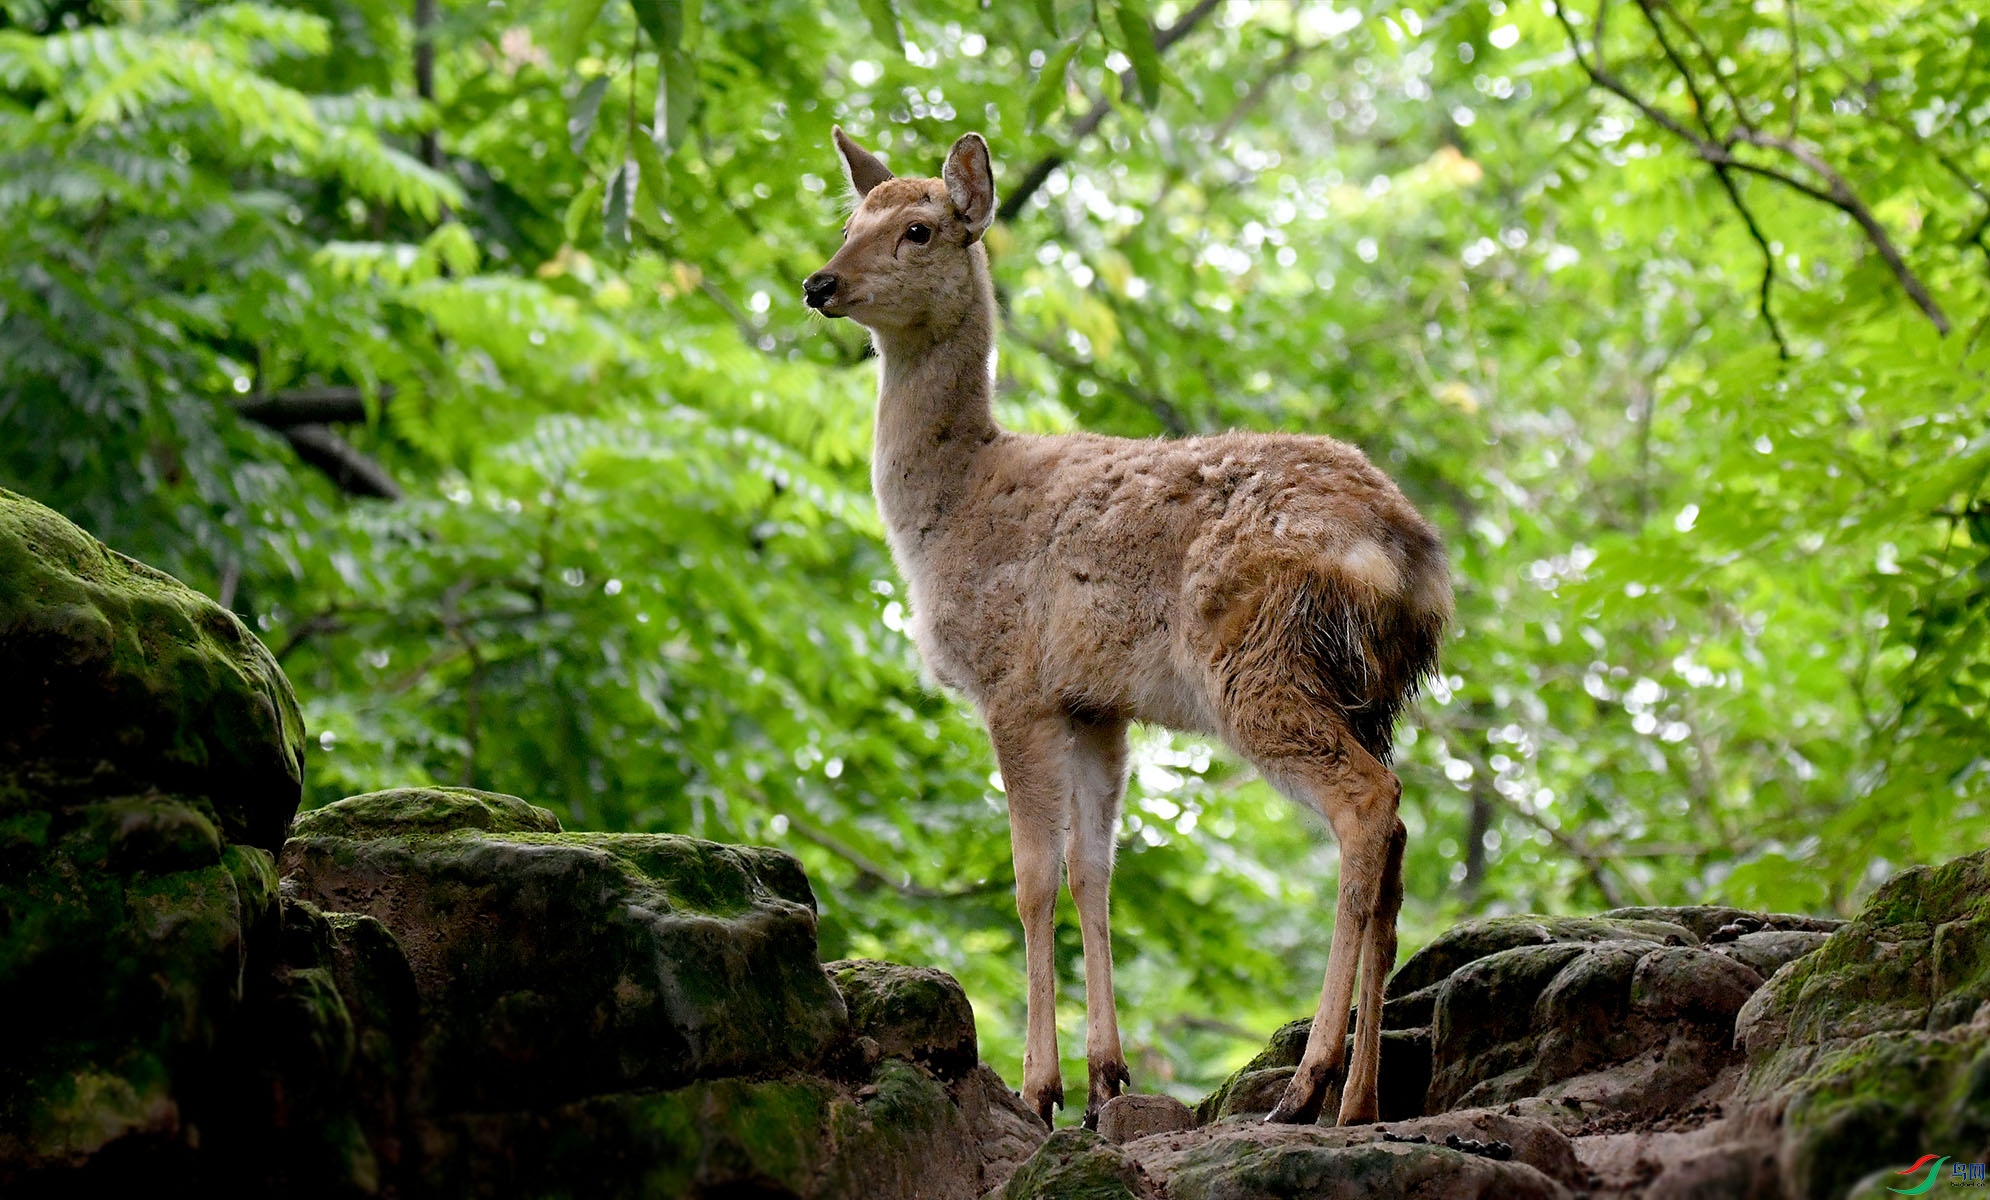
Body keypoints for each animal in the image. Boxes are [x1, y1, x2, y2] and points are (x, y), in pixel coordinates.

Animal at [799, 131, 1456, 1138]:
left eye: (917, 228)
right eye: (849, 220)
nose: (820, 282)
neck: (948, 514)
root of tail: (1411, 560)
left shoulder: (1015, 682)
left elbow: (1031, 878)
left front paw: (1041, 1088)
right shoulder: (1095, 704)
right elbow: (1092, 872)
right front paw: (1106, 1077)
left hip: (1260, 664)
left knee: (1367, 807)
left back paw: (1305, 1085)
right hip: (1369, 693)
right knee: (1399, 840)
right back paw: (1361, 1101)